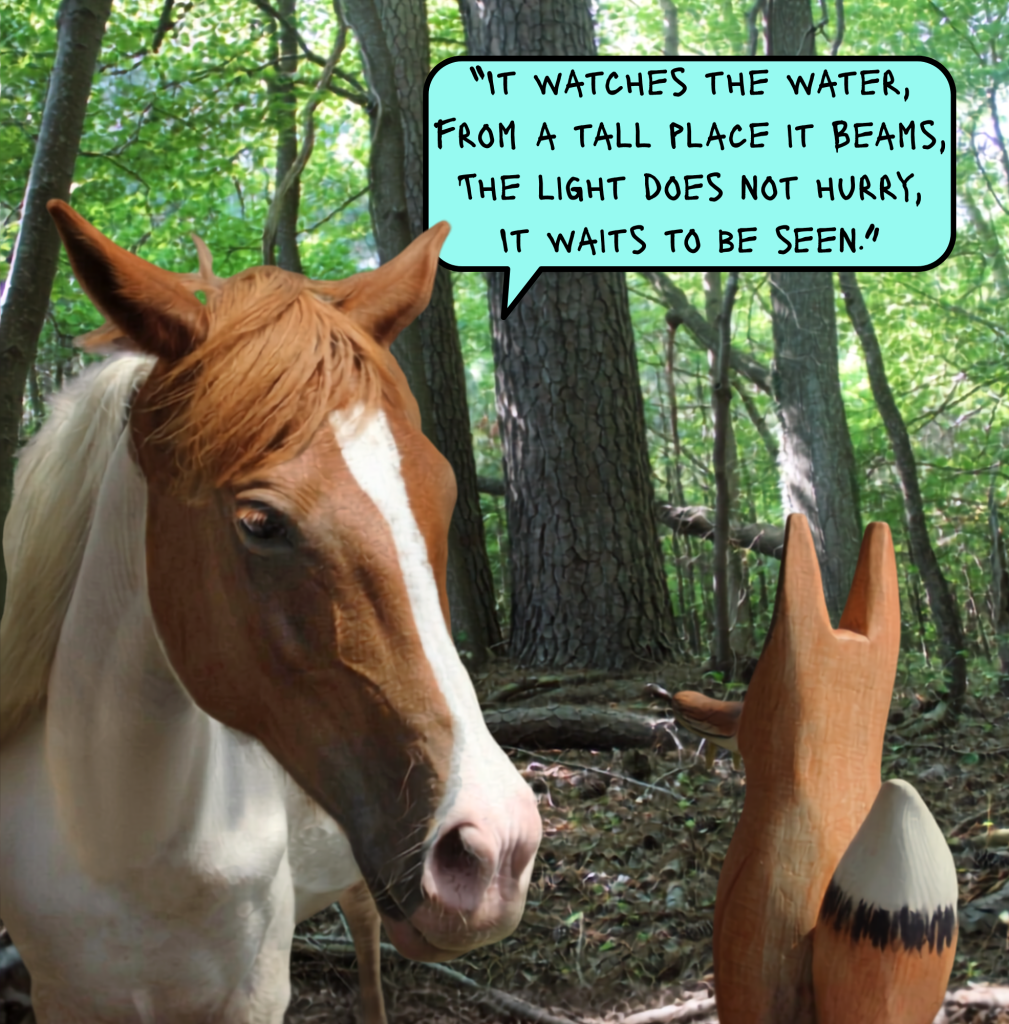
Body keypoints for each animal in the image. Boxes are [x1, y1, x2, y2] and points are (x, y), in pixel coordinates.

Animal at [0, 200, 542, 1024]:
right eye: (260, 521)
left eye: (445, 492)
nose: (496, 848)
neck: (122, 845)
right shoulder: (65, 996)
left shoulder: (255, 991)